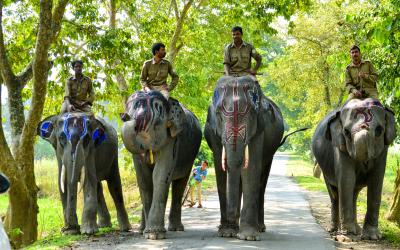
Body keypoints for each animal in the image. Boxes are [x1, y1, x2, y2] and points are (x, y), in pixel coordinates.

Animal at [119, 91, 202, 239]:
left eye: (156, 124)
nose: (124, 116)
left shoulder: (172, 139)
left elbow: (159, 175)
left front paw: (154, 235)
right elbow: (143, 179)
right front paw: (148, 233)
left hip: (190, 158)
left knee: (180, 184)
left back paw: (176, 229)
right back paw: (141, 230)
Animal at [205, 75, 286, 240]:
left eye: (252, 114)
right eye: (218, 114)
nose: (230, 217)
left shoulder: (259, 129)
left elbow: (251, 169)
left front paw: (248, 237)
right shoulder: (213, 131)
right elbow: (220, 168)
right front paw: (227, 233)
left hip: (271, 151)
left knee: (262, 181)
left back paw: (260, 228)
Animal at [310, 97, 396, 240]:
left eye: (379, 130)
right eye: (346, 132)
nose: (365, 163)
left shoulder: (384, 148)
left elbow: (376, 180)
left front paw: (372, 237)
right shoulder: (339, 146)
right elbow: (347, 179)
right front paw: (347, 236)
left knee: (354, 194)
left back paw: (357, 230)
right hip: (324, 168)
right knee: (335, 194)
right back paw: (334, 230)